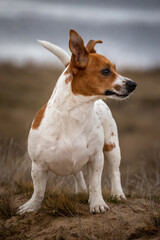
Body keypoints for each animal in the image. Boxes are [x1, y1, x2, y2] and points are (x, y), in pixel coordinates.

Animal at [18, 29, 137, 215]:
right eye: (105, 71)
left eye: (115, 69)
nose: (133, 84)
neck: (74, 113)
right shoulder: (38, 165)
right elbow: (38, 191)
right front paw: (32, 207)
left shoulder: (96, 159)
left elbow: (95, 184)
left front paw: (97, 204)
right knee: (78, 174)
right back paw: (80, 191)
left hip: (112, 147)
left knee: (114, 172)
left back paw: (117, 194)